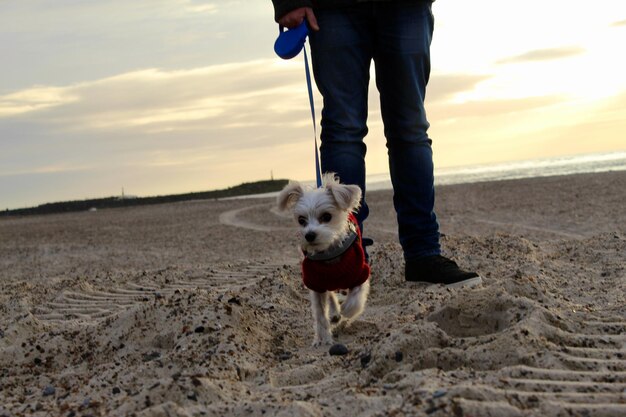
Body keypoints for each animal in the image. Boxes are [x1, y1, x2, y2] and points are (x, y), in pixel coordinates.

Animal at [276, 172, 368, 344]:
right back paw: (334, 313)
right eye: (301, 220)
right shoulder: (316, 284)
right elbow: (320, 315)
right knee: (331, 296)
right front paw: (322, 338)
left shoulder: (360, 274)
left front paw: (347, 310)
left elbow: (356, 298)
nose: (309, 235)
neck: (329, 255)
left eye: (326, 216)